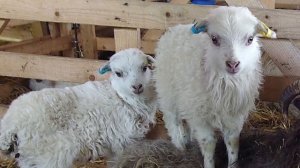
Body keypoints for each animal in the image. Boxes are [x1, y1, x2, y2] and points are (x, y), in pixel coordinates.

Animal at [0, 48, 157, 167]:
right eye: (118, 73)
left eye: (144, 68)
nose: (137, 87)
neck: (122, 98)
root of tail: (10, 124)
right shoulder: (122, 141)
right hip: (48, 156)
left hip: (29, 158)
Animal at [154, 5, 276, 168]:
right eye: (214, 39)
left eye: (250, 39)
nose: (233, 64)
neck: (226, 83)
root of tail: (174, 28)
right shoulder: (201, 116)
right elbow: (209, 144)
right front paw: (208, 162)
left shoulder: (233, 117)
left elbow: (233, 143)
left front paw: (233, 164)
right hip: (167, 90)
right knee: (172, 119)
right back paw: (179, 144)